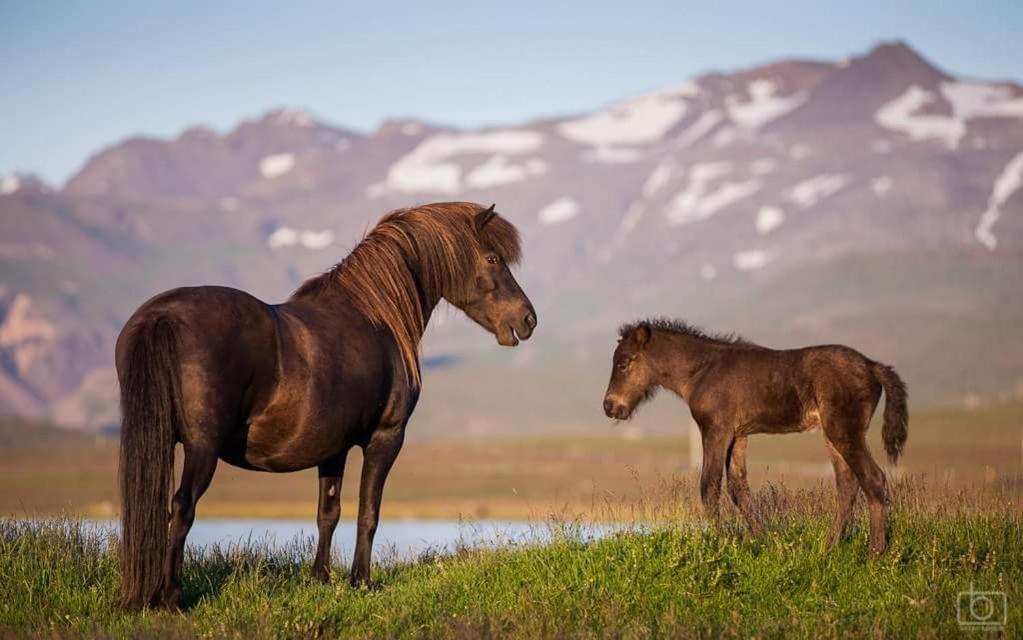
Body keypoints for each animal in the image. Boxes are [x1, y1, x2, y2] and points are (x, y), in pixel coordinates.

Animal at [116, 200, 540, 609]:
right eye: (491, 258)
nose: (528, 319)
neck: (375, 316)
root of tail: (162, 316)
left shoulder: (332, 448)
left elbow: (328, 513)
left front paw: (320, 578)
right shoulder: (385, 438)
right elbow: (368, 512)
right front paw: (361, 582)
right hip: (201, 448)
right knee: (182, 507)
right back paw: (170, 597)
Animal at [601, 318, 908, 552]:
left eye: (623, 363)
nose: (610, 406)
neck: (702, 371)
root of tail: (872, 365)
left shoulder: (716, 429)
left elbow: (709, 486)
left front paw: (720, 543)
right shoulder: (739, 435)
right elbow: (738, 488)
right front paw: (764, 541)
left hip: (844, 430)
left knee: (873, 478)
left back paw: (875, 554)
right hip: (832, 434)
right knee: (847, 484)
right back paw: (829, 548)